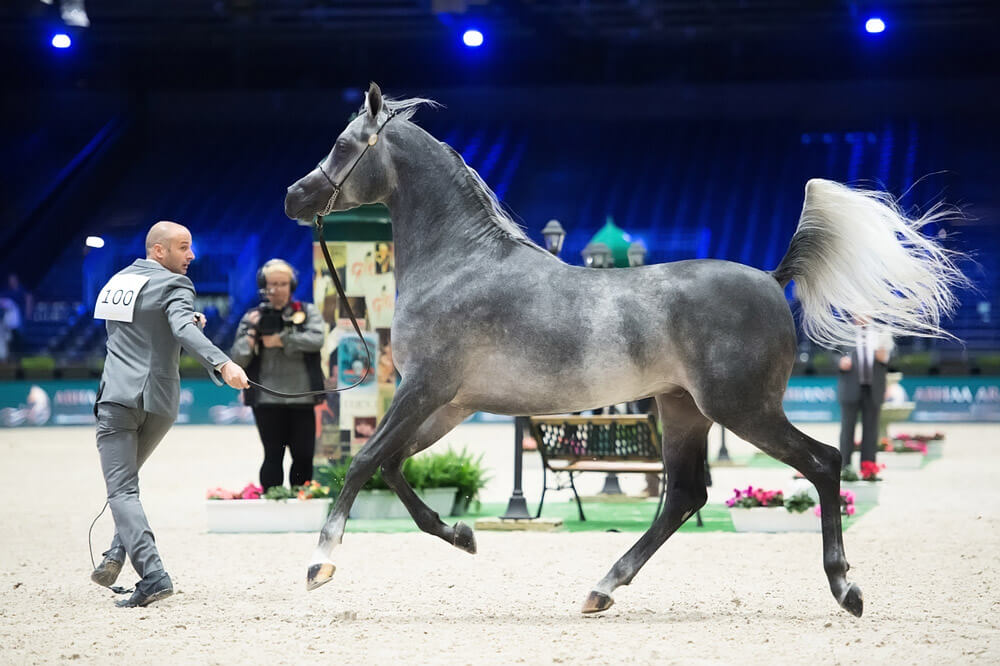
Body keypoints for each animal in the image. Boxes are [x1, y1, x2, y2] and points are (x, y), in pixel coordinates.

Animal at [284, 84, 968, 616]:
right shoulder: (448, 403)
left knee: (823, 464)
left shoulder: (424, 388)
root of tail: (775, 280)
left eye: (343, 145)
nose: (295, 197)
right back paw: (602, 589)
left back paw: (845, 588)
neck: (461, 265)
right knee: (685, 496)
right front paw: (461, 534)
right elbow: (393, 466)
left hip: (741, 410)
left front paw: (320, 563)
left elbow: (365, 460)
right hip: (684, 409)